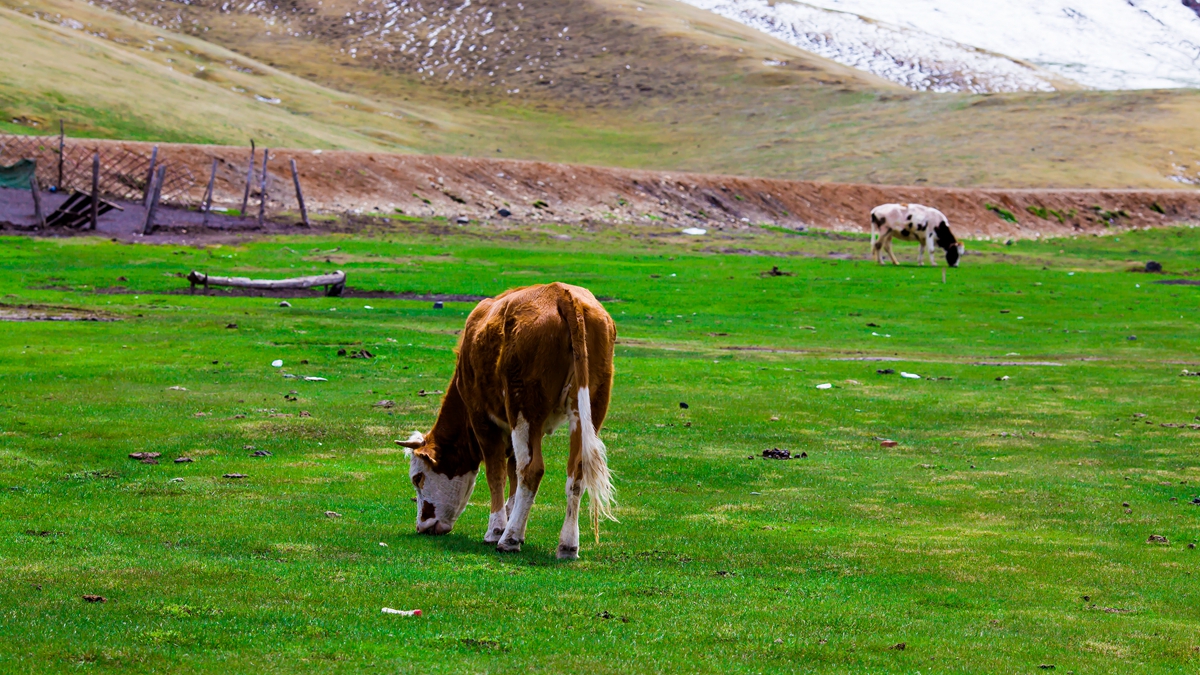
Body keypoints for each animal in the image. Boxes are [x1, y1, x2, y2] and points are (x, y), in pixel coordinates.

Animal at [396, 279, 614, 557]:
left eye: (417, 478)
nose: (422, 525)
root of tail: (561, 293)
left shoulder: (482, 419)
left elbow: (496, 473)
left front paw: (497, 529)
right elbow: (512, 473)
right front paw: (512, 518)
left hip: (524, 406)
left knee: (532, 470)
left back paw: (509, 539)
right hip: (589, 408)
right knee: (575, 472)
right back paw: (567, 544)